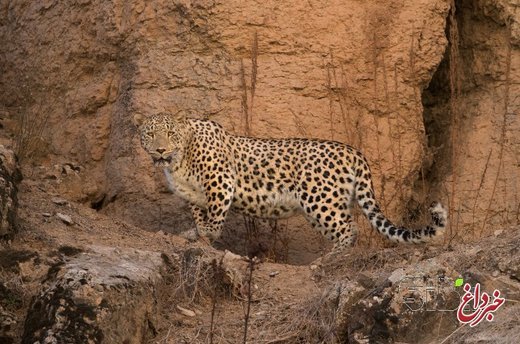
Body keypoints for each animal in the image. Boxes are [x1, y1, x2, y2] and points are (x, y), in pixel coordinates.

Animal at [134, 113, 446, 250]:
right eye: (150, 134)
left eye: (170, 134)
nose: (160, 149)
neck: (177, 161)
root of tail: (354, 151)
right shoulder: (195, 195)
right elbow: (201, 216)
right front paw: (197, 234)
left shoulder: (220, 181)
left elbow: (215, 216)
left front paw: (207, 235)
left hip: (319, 200)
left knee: (350, 228)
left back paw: (330, 259)